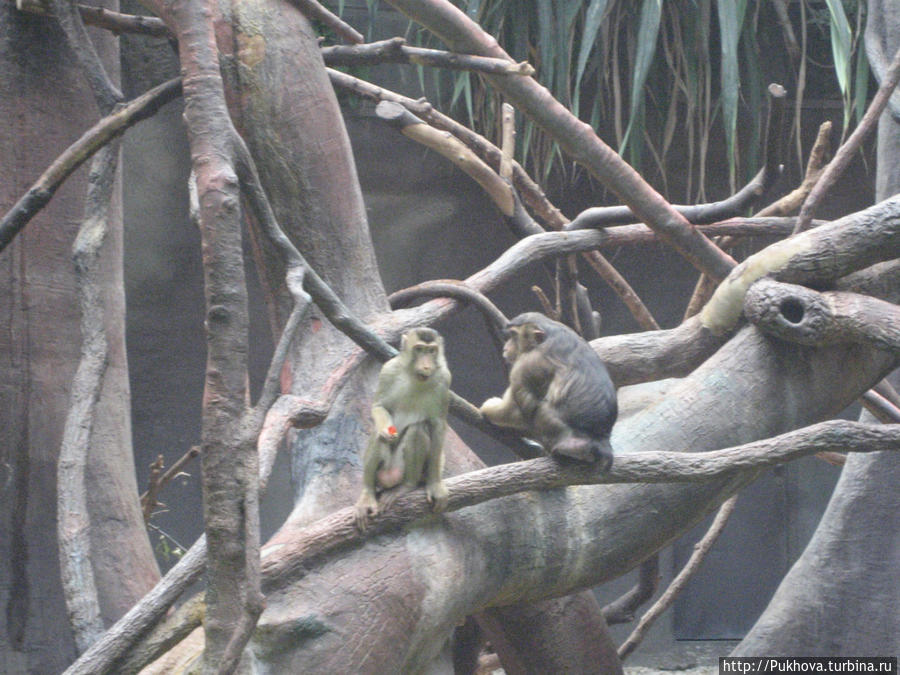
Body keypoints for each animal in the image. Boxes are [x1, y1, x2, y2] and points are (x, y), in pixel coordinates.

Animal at [352, 328, 450, 532]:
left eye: (432, 351)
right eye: (419, 349)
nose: (426, 366)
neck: (414, 377)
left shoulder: (445, 379)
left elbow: (437, 425)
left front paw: (435, 485)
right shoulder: (388, 370)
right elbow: (379, 407)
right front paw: (384, 430)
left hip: (402, 469)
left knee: (417, 429)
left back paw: (407, 486)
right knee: (378, 436)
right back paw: (367, 494)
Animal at [478, 314, 620, 468]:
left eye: (514, 336)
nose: (506, 348)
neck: (549, 334)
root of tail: (599, 438)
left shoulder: (526, 364)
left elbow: (521, 407)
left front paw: (489, 410)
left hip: (551, 425)